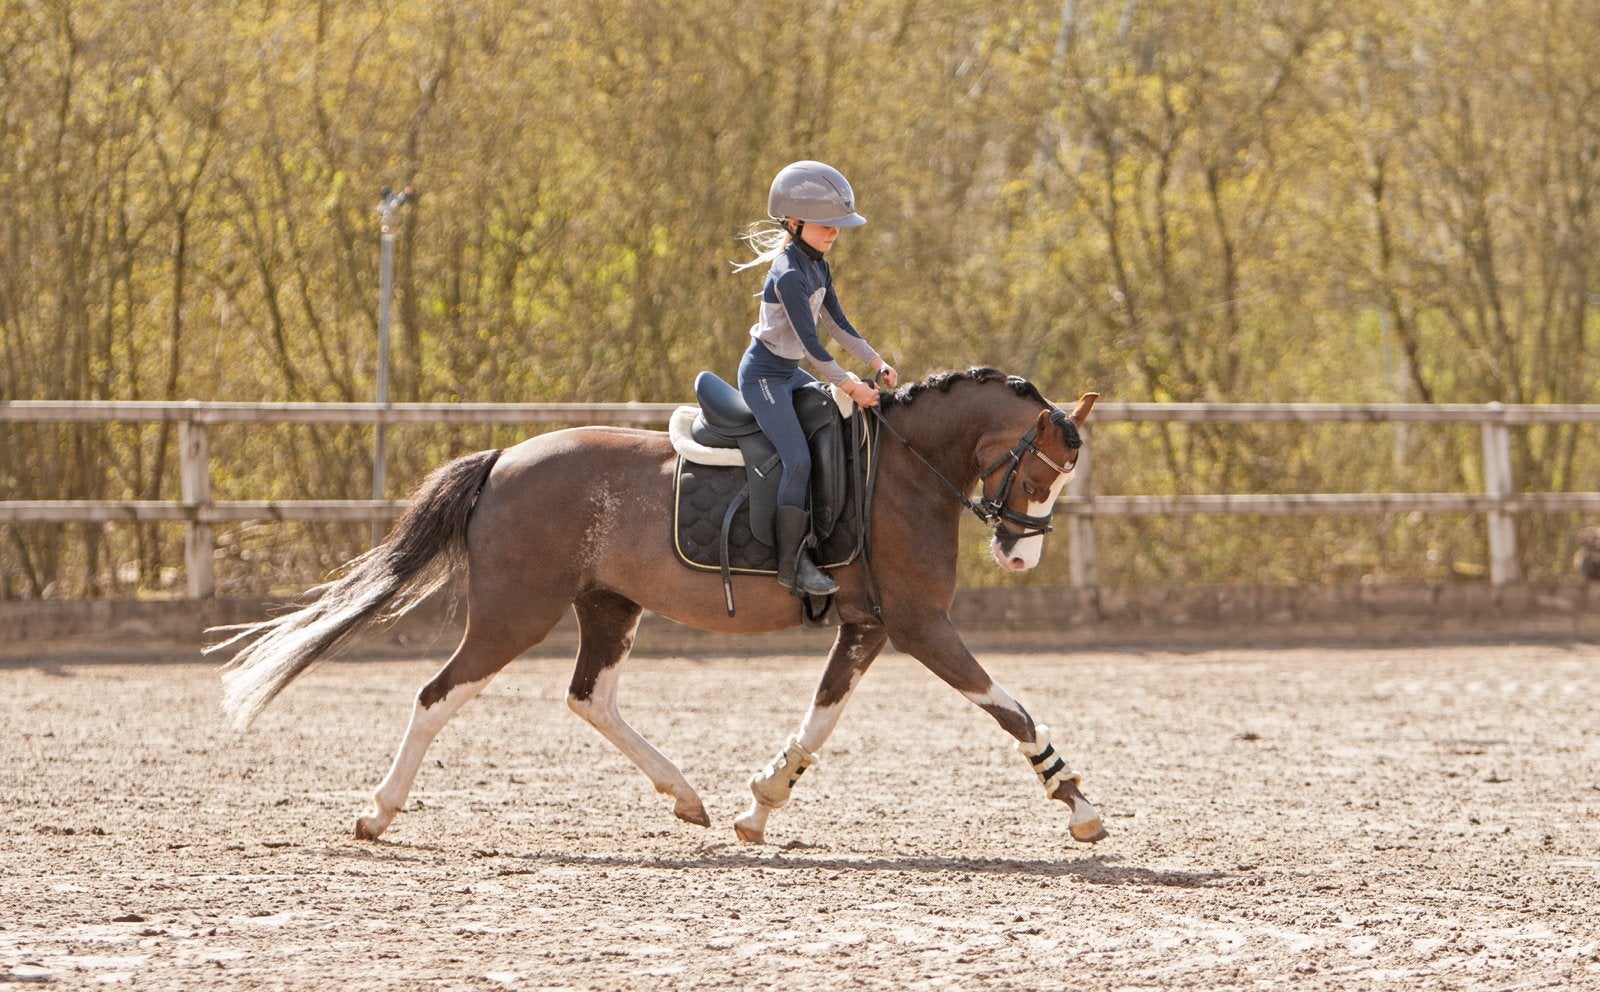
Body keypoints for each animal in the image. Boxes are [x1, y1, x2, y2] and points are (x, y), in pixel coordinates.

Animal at [211, 367, 1105, 847]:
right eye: (1038, 471)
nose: (1019, 555)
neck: (906, 470)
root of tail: (505, 460)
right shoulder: (920, 626)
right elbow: (1009, 709)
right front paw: (1080, 806)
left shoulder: (869, 627)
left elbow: (819, 720)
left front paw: (760, 804)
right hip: (516, 614)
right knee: (438, 696)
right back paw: (378, 813)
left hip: (609, 606)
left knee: (589, 697)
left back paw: (686, 796)